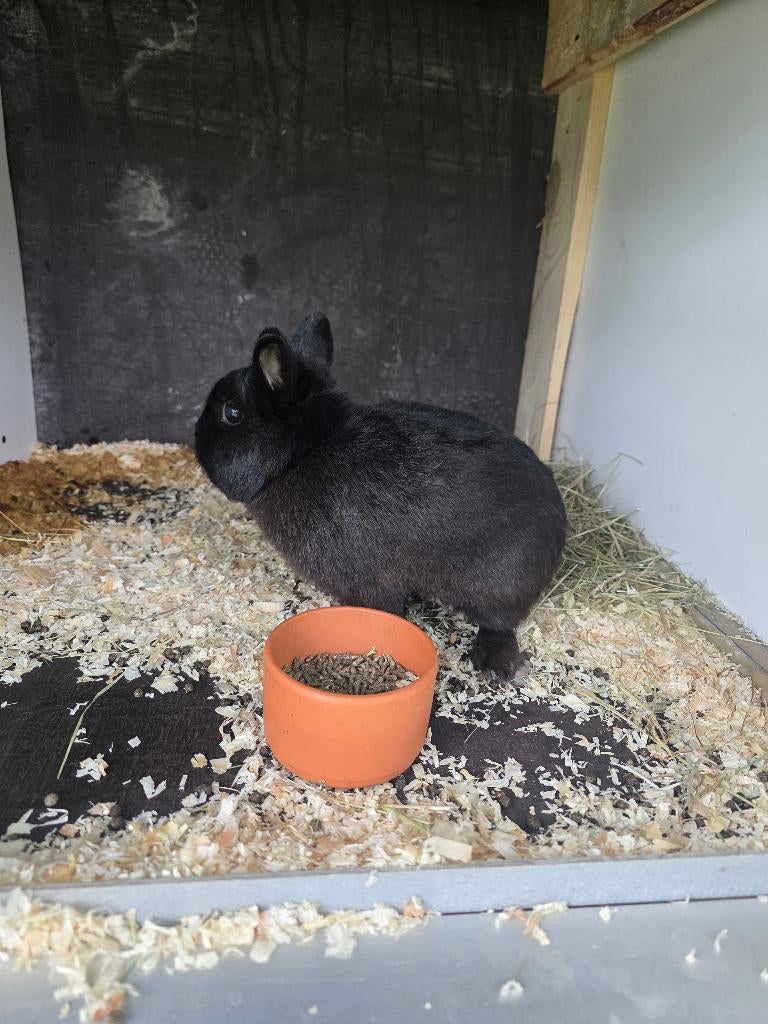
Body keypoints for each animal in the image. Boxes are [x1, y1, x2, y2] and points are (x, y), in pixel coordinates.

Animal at [195, 313, 567, 681]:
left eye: (232, 413)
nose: (197, 440)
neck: (299, 455)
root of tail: (559, 528)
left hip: (497, 582)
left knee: (499, 623)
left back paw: (491, 662)